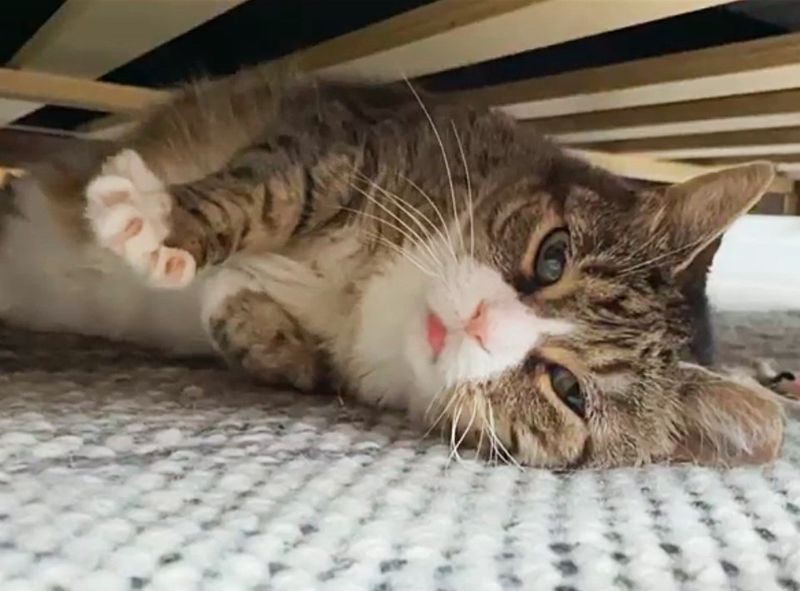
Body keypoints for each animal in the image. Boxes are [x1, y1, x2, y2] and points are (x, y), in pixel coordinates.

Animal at [0, 68, 788, 468]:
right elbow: (273, 191)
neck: (380, 300)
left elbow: (255, 325)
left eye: (567, 388)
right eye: (552, 255)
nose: (477, 320)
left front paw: (258, 324)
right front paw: (163, 219)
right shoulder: (351, 129)